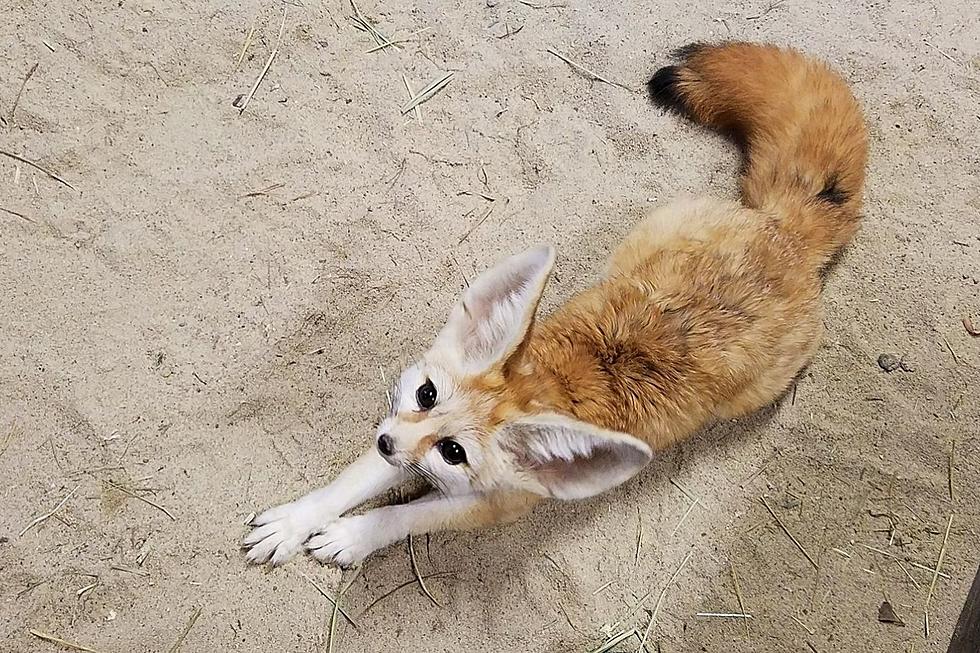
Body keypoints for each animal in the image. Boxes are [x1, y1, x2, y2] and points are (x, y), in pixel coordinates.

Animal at [243, 43, 864, 568]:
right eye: (427, 394)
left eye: (453, 452)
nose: (386, 440)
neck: (545, 385)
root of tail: (784, 236)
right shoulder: (399, 429)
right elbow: (347, 485)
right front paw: (294, 523)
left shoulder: (485, 503)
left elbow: (401, 516)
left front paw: (353, 536)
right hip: (639, 239)